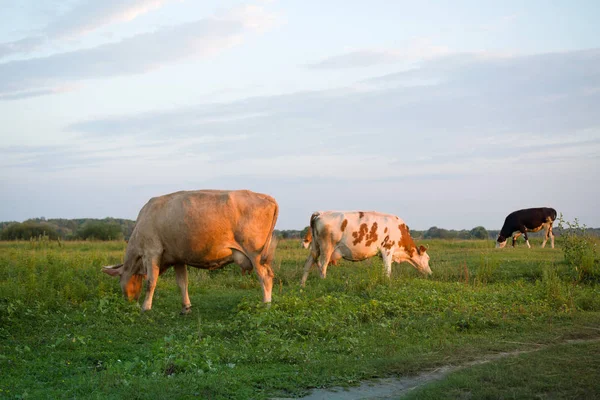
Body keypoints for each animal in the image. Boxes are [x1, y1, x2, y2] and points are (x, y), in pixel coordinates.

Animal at [102, 189, 278, 314]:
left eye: (119, 279)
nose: (129, 302)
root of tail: (266, 197)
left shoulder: (152, 251)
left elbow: (151, 282)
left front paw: (146, 307)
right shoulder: (178, 258)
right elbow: (182, 283)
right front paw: (186, 307)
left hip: (255, 252)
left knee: (265, 277)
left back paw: (266, 305)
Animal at [300, 211, 432, 286]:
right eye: (428, 258)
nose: (430, 273)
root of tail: (321, 213)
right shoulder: (387, 249)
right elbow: (387, 270)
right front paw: (387, 283)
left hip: (315, 247)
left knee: (308, 264)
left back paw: (302, 286)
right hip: (326, 247)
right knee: (322, 266)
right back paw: (323, 282)